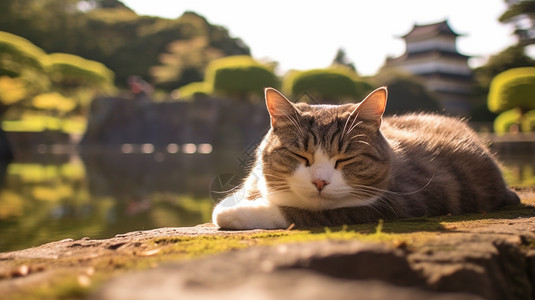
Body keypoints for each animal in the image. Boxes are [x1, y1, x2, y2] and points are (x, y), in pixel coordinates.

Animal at [211, 86, 520, 230]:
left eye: (345, 159)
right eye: (300, 155)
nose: (320, 182)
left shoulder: (398, 200)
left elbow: (311, 212)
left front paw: (236, 211)